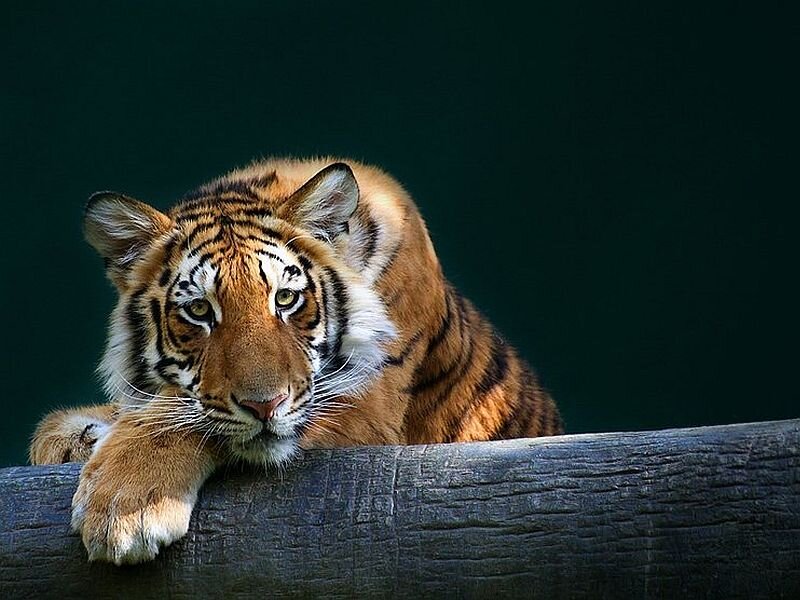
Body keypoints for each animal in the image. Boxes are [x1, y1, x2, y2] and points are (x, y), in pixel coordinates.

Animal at [29, 157, 563, 565]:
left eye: (285, 299)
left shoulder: (368, 404)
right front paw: (72, 436)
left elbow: (184, 419)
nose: (264, 406)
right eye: (199, 311)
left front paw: (123, 508)